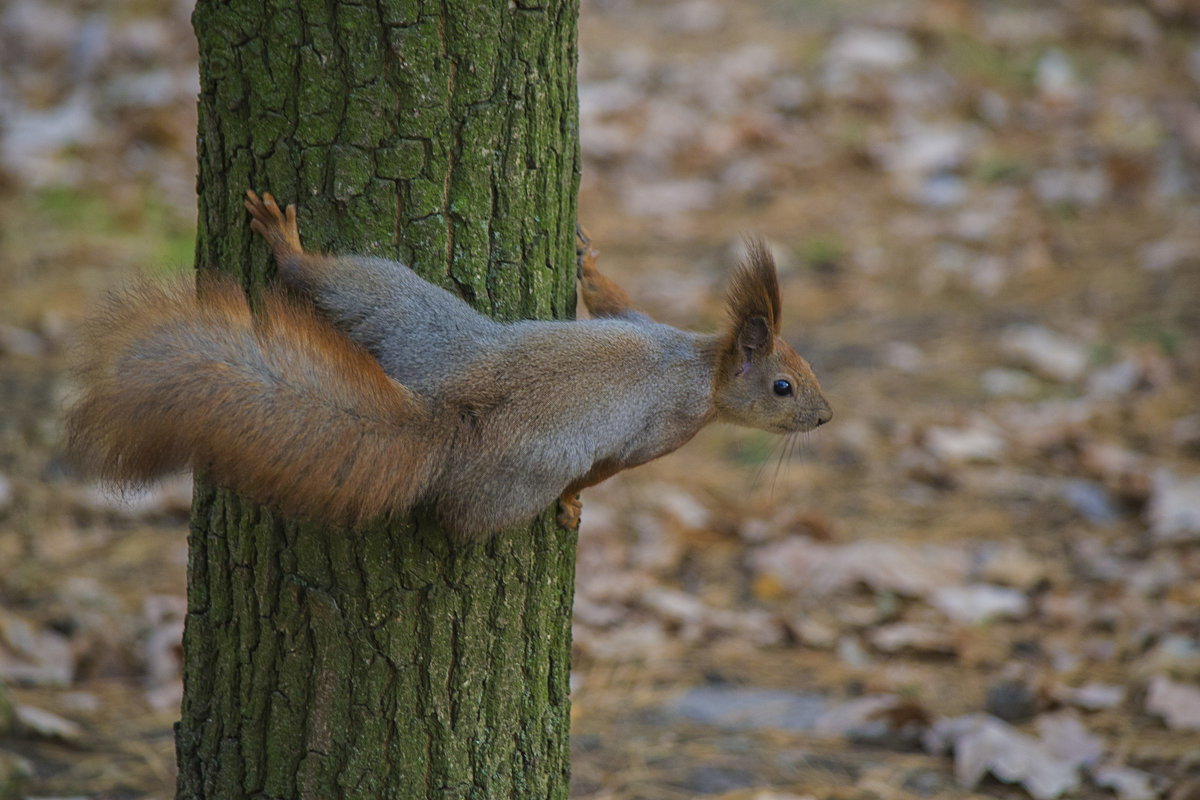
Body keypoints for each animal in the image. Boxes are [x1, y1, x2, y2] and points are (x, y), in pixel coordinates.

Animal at [65, 190, 835, 542]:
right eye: (784, 386)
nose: (826, 416)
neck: (697, 364)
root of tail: (447, 411)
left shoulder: (640, 321)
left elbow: (612, 300)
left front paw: (588, 261)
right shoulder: (661, 431)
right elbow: (606, 470)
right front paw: (576, 506)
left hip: (406, 308)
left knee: (334, 283)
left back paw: (289, 251)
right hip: (509, 483)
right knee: (463, 519)